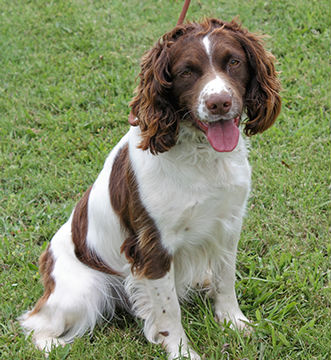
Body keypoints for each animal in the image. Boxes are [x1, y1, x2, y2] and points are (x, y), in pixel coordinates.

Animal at [20, 18, 280, 358]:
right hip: (84, 291)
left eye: (234, 62)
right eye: (186, 72)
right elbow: (169, 311)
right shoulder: (153, 246)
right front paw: (181, 351)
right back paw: (56, 345)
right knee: (35, 323)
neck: (200, 155)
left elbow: (225, 281)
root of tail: (46, 260)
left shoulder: (228, 224)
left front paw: (233, 323)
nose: (219, 103)